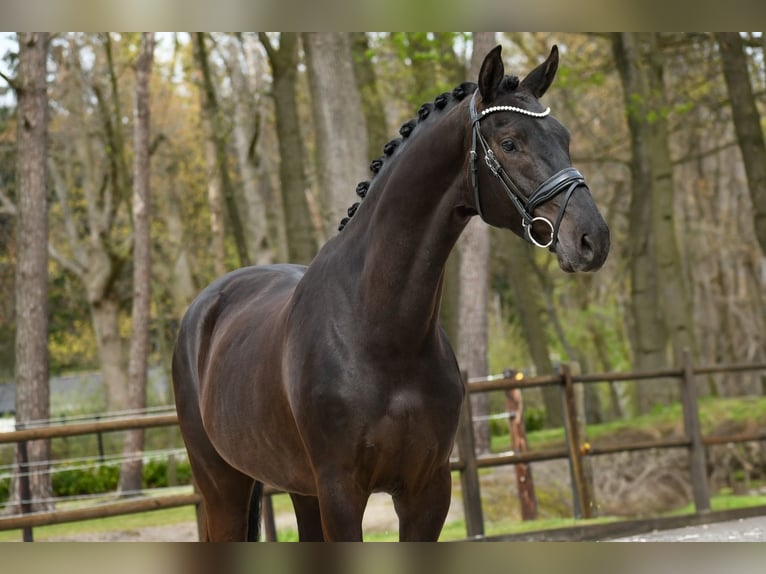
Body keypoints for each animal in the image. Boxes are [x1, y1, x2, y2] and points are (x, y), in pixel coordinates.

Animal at [172, 44, 610, 542]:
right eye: (510, 142)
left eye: (564, 137)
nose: (592, 239)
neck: (380, 329)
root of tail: (205, 308)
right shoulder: (341, 494)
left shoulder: (427, 491)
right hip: (222, 485)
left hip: (299, 489)